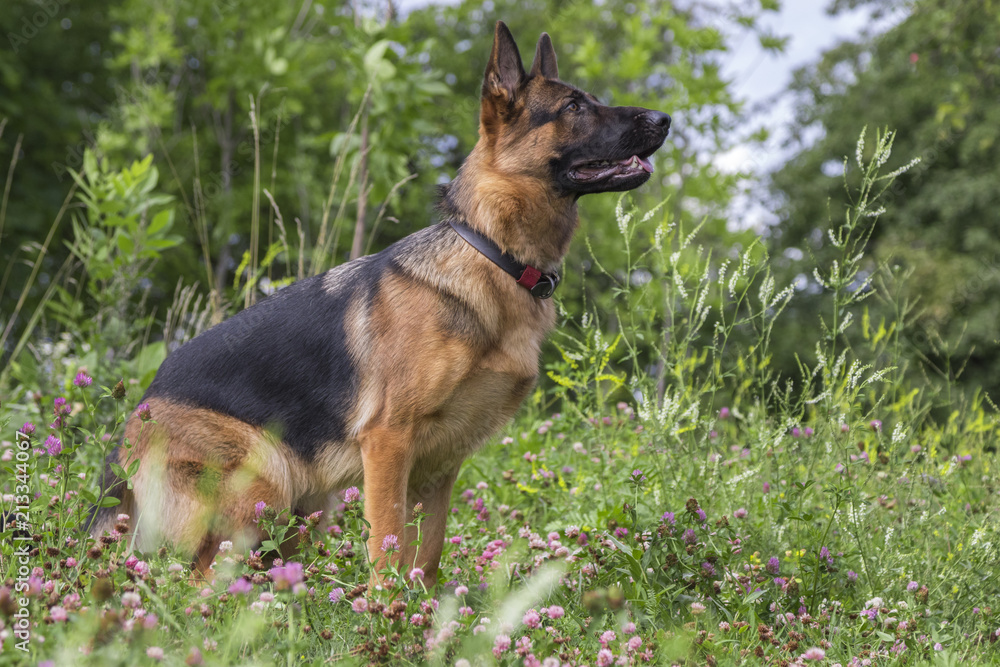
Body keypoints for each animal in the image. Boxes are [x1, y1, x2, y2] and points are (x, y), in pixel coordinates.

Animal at [92, 19, 672, 584]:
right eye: (574, 107)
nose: (666, 118)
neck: (493, 253)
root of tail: (132, 425)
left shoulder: (440, 466)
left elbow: (427, 557)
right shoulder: (389, 444)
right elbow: (388, 551)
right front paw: (386, 611)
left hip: (305, 507)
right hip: (265, 479)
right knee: (195, 584)